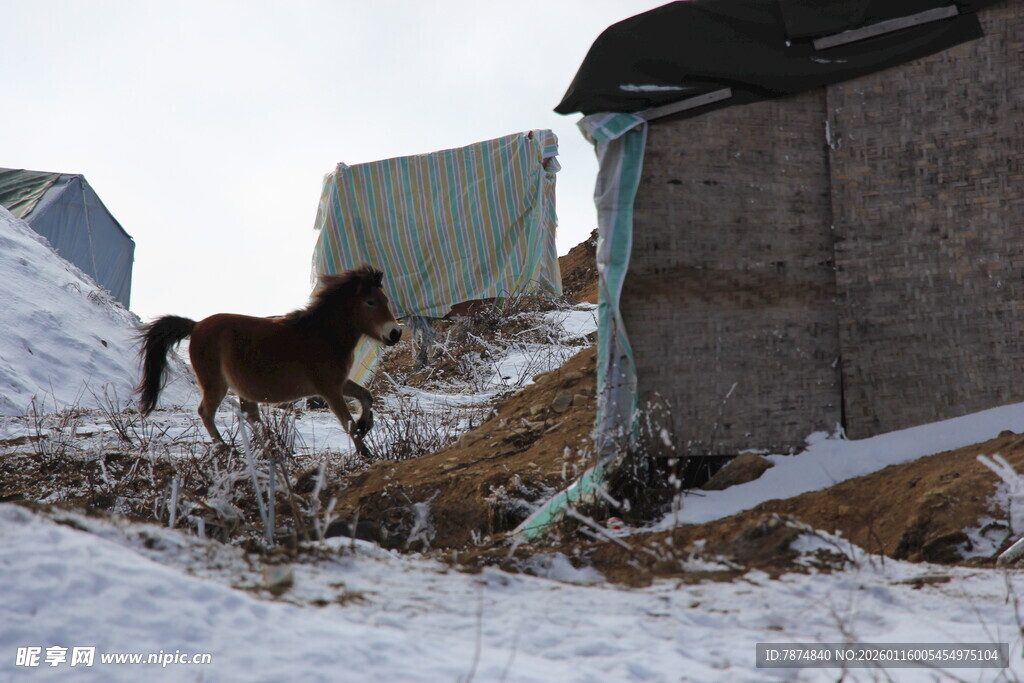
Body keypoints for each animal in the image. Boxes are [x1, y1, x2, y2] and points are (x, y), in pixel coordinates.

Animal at [136, 265, 402, 455]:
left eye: (386, 300)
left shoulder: (339, 383)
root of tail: (196, 325)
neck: (322, 334)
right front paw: (366, 452)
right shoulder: (328, 389)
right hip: (215, 385)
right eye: (370, 302)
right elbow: (348, 423)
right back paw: (226, 448)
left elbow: (366, 396)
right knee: (206, 412)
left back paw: (270, 447)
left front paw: (366, 424)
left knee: (249, 414)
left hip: (241, 388)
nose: (395, 333)